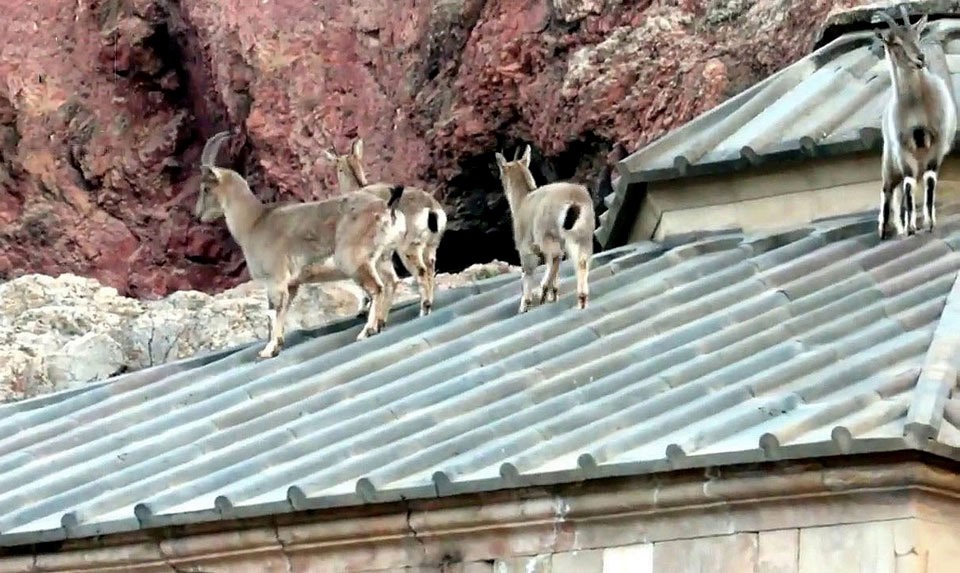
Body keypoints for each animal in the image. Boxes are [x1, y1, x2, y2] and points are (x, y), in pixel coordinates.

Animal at [195, 130, 407, 359]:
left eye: (206, 188)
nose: (198, 215)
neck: (253, 222)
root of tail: (386, 208)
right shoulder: (292, 284)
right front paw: (276, 345)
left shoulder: (276, 280)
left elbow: (274, 312)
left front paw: (268, 350)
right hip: (382, 258)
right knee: (391, 282)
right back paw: (380, 324)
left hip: (353, 260)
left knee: (377, 288)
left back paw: (367, 331)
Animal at [323, 137, 447, 317]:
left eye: (338, 168)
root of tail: (431, 208)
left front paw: (364, 307)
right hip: (431, 246)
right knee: (430, 268)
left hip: (408, 247)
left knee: (421, 271)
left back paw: (423, 309)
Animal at [494, 144, 594, 313]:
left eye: (501, 174)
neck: (522, 200)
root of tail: (574, 201)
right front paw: (554, 295)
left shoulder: (525, 248)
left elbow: (527, 272)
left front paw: (525, 304)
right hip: (581, 233)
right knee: (580, 260)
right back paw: (581, 299)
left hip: (547, 234)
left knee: (555, 256)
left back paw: (544, 289)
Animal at [874, 6, 957, 239]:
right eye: (895, 43)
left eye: (917, 35)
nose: (920, 58)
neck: (916, 104)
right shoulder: (903, 149)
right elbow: (909, 185)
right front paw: (911, 227)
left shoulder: (936, 144)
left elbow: (929, 181)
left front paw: (929, 223)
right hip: (890, 159)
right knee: (889, 189)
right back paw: (885, 229)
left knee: (903, 190)